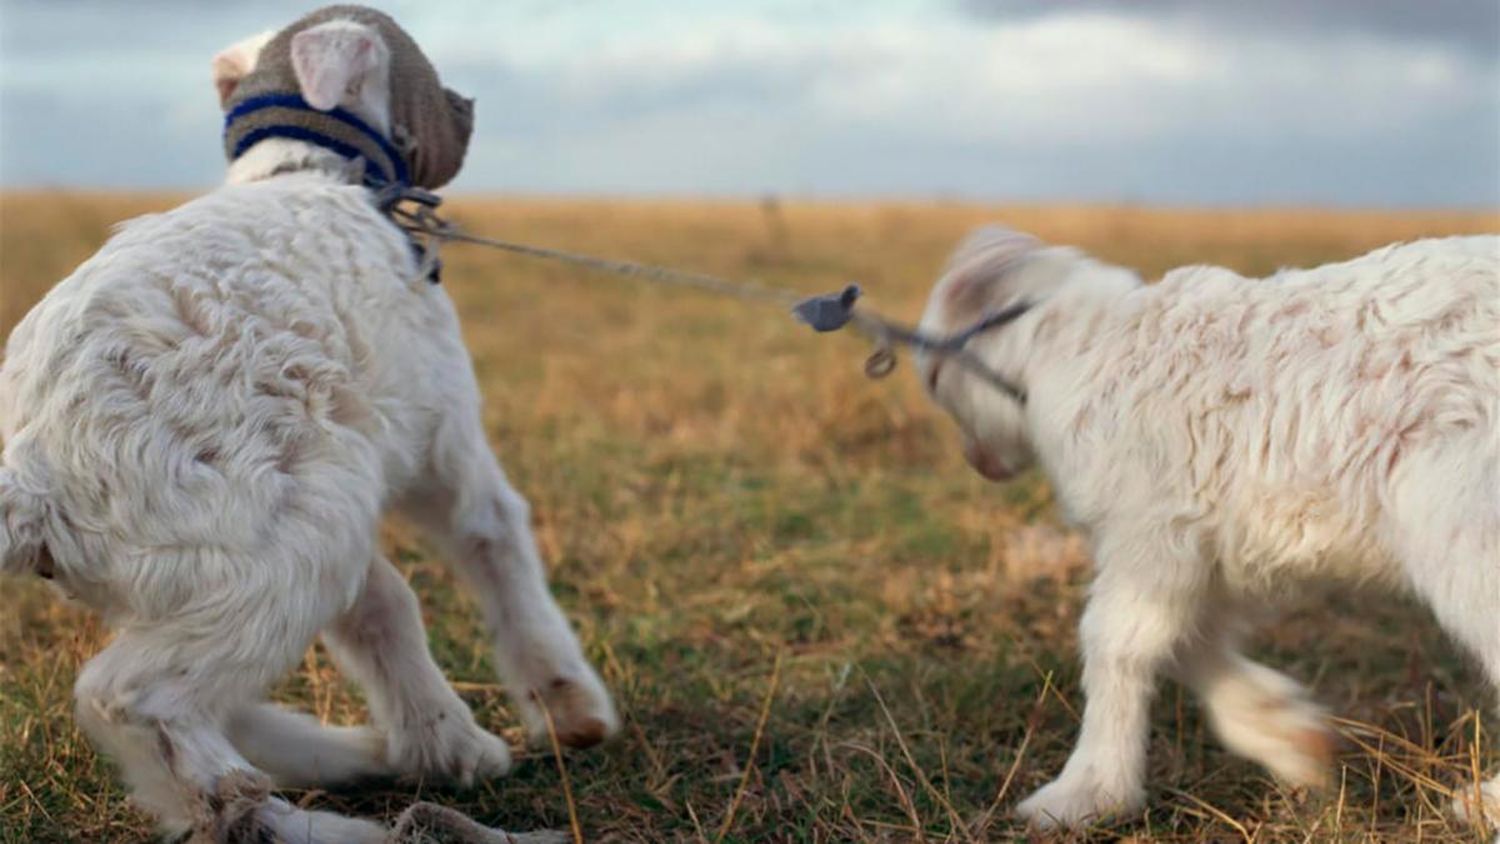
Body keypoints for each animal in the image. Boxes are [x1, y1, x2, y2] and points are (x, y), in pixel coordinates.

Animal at [0, 13, 618, 844]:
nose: (467, 107)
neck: (307, 171)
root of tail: (32, 474)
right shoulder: (446, 440)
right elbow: (496, 542)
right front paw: (570, 709)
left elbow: (380, 611)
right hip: (266, 552)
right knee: (136, 705)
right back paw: (332, 816)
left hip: (280, 531)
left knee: (247, 688)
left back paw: (385, 754)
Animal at [912, 227, 1500, 827]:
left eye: (934, 377)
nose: (978, 462)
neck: (1070, 340)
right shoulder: (1209, 551)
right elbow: (1189, 646)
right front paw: (1287, 733)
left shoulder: (1150, 536)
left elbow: (1114, 644)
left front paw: (1085, 793)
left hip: (1465, 530)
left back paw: (1486, 802)